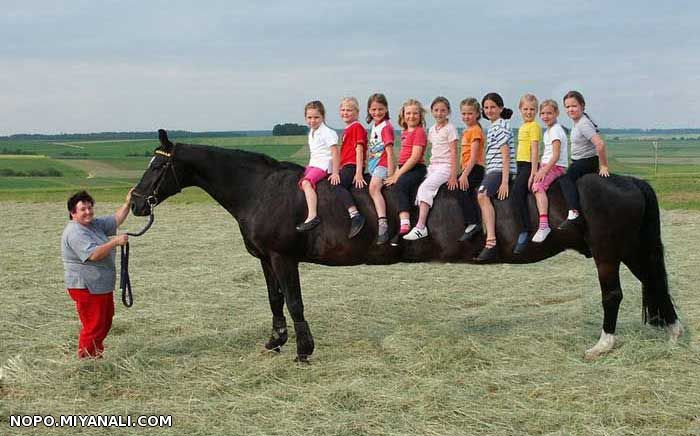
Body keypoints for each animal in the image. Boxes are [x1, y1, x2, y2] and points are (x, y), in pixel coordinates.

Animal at [133, 129, 684, 362]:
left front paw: (304, 351)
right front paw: (275, 342)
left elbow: (293, 301)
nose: (137, 203)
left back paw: (604, 344)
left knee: (614, 293)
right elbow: (273, 302)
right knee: (652, 280)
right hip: (627, 249)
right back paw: (674, 332)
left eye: (158, 166)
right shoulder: (269, 259)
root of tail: (624, 179)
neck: (265, 190)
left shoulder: (284, 257)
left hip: (610, 251)